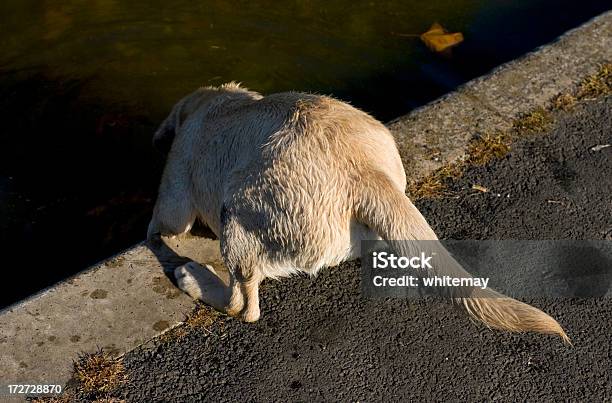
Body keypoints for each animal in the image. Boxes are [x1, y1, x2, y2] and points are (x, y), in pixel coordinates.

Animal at [147, 83, 568, 344]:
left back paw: (192, 277)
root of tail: (364, 173)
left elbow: (162, 225)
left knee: (243, 304)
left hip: (238, 214)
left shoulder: (175, 190)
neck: (212, 105)